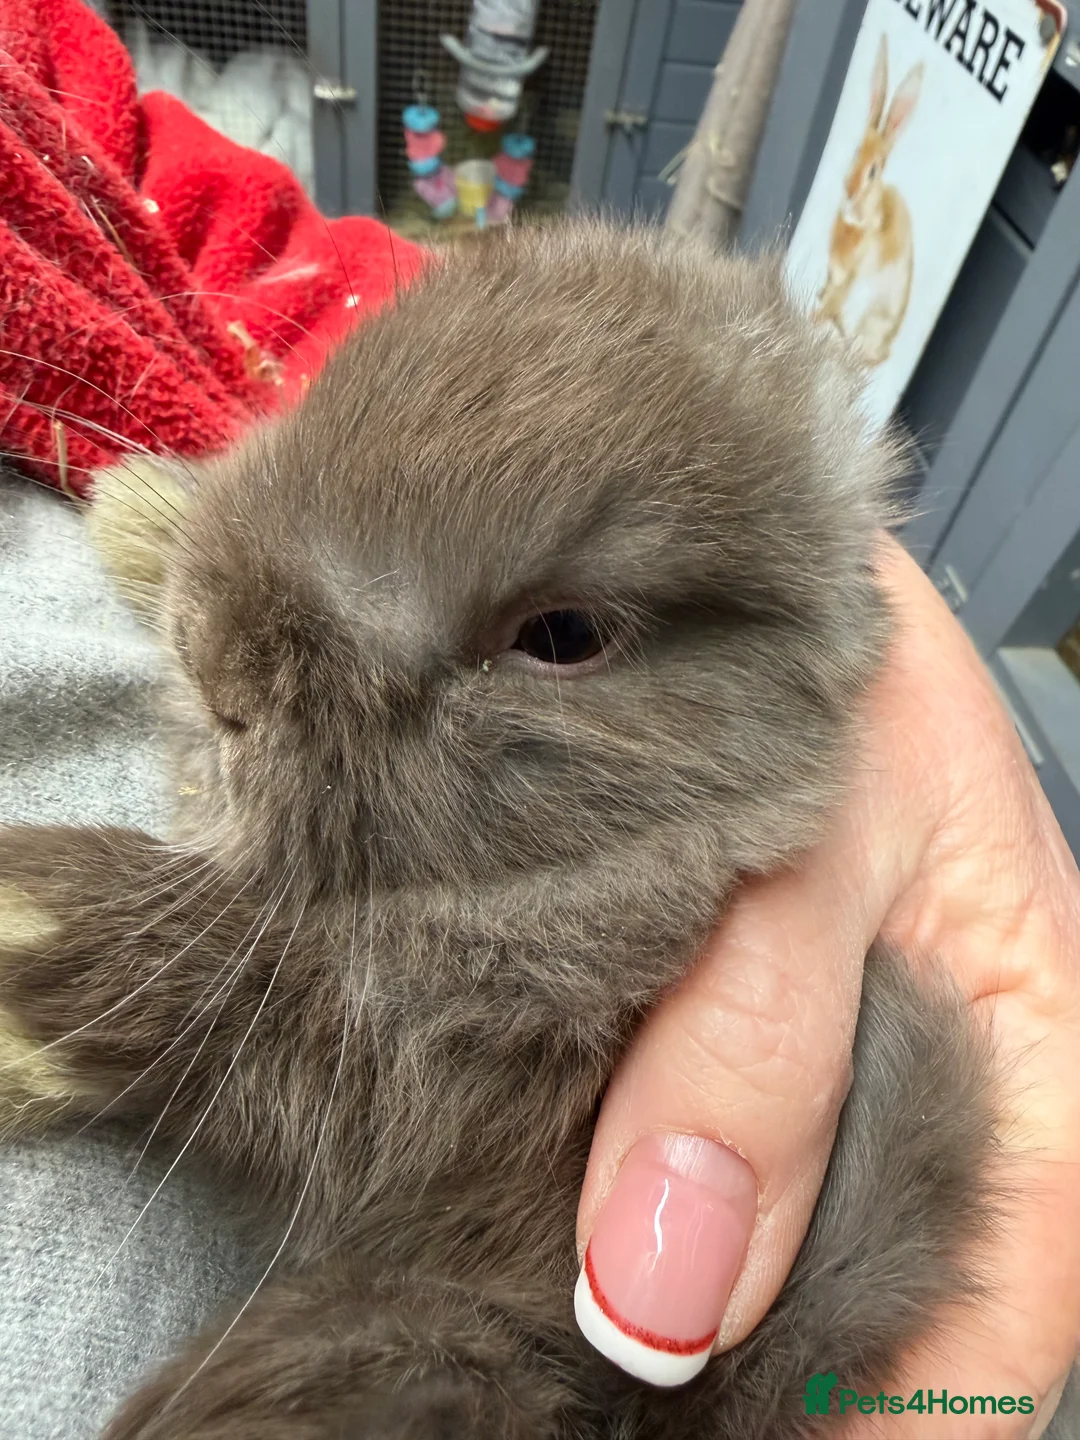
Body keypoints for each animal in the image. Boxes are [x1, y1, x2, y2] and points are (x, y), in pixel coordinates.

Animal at [0, 220, 1010, 1439]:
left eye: (562, 636)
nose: (216, 664)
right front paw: (143, 508)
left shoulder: (469, 1065)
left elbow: (285, 1002)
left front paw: (25, 926)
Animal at [815, 35, 923, 368]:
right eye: (854, 153)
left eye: (873, 172)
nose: (848, 190)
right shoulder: (834, 272)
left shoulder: (852, 278)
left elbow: (834, 301)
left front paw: (813, 318)